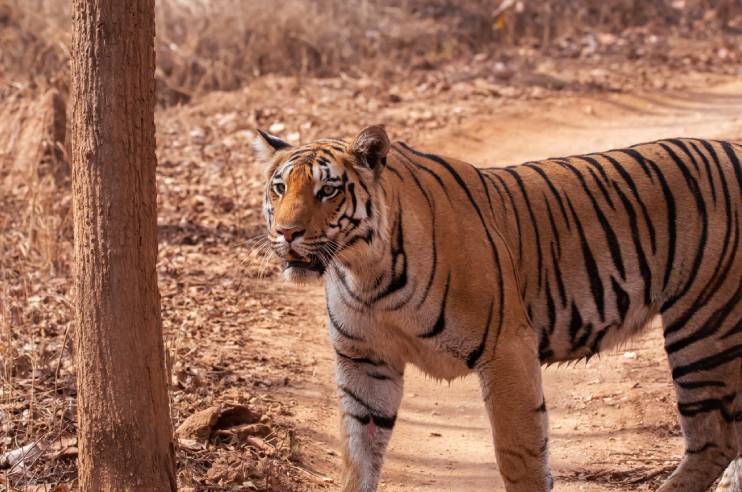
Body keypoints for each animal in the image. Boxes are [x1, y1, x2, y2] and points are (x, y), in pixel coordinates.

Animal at [254, 125, 742, 491]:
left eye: (328, 190)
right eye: (279, 188)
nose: (286, 233)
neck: (364, 272)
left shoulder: (506, 349)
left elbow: (519, 456)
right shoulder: (365, 361)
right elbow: (359, 455)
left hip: (704, 327)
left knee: (714, 440)